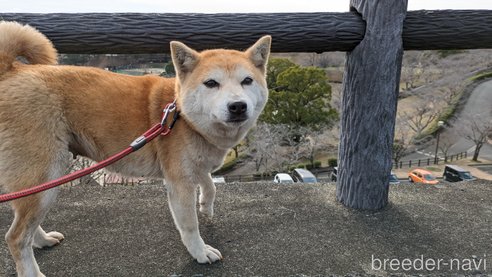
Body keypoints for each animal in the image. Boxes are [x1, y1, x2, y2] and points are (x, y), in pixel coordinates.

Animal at [0, 20, 270, 274]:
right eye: (211, 83)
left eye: (247, 81)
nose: (237, 106)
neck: (181, 116)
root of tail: (12, 70)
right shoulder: (179, 182)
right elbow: (190, 225)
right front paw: (200, 252)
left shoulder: (194, 166)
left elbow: (210, 184)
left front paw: (206, 205)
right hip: (47, 173)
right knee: (15, 237)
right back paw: (33, 270)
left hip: (37, 181)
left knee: (24, 225)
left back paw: (42, 240)